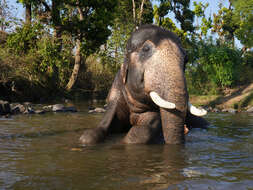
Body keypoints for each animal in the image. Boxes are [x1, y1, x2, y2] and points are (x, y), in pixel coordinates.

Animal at [80, 24, 209, 145]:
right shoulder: (115, 93)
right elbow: (91, 135)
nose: (185, 129)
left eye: (186, 59)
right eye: (146, 49)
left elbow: (141, 132)